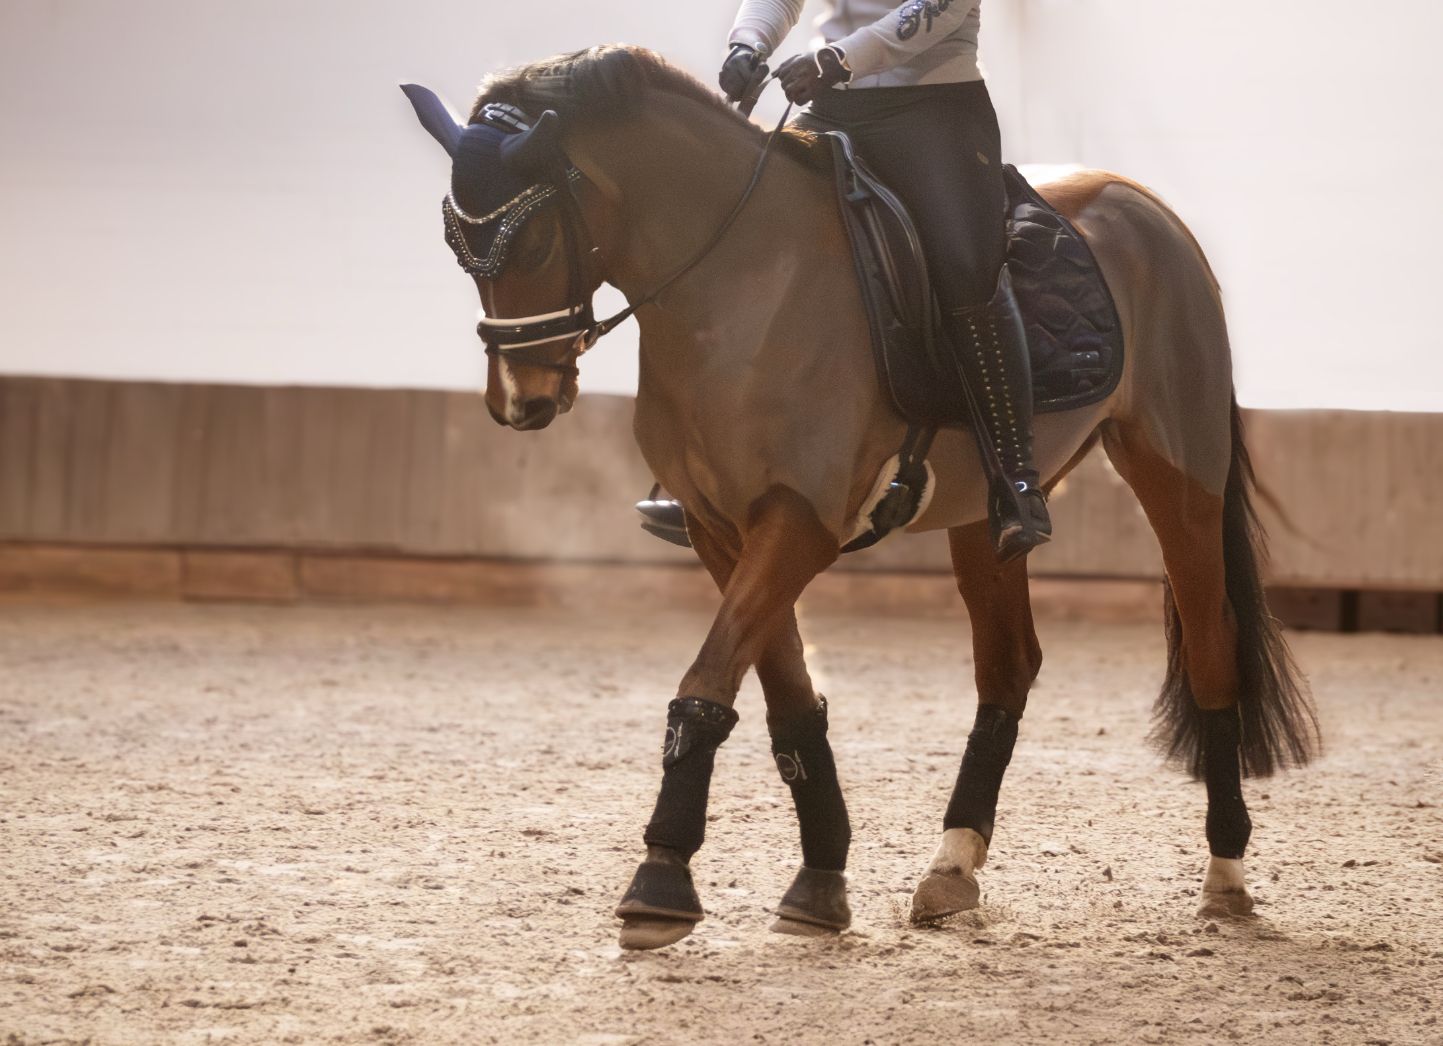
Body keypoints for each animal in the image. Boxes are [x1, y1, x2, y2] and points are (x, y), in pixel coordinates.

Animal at [401, 44, 1319, 951]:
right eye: (456, 246)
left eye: (529, 239)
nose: (519, 402)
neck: (741, 282)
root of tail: (1148, 209)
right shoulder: (718, 527)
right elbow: (784, 698)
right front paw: (819, 879)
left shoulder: (798, 521)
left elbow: (709, 678)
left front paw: (659, 879)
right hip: (984, 516)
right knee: (1008, 664)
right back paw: (951, 867)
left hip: (1178, 474)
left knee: (1211, 649)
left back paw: (1226, 877)